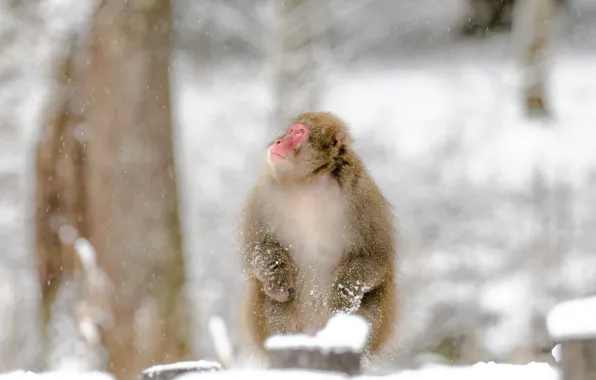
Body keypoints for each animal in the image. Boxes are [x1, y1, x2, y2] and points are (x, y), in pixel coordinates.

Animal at [237, 110, 400, 360]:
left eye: (299, 133)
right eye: (291, 130)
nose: (278, 141)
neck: (308, 183)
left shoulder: (362, 193)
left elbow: (375, 257)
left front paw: (341, 298)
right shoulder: (263, 194)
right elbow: (257, 249)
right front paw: (278, 279)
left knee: (371, 298)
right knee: (272, 301)